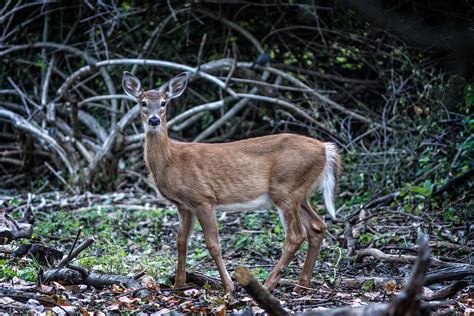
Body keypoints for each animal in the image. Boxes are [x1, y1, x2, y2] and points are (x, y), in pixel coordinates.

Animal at [123, 70, 340, 292]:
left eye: (164, 103)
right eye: (143, 102)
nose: (154, 120)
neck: (171, 160)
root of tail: (325, 148)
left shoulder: (203, 198)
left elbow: (213, 244)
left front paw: (228, 286)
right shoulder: (184, 205)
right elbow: (181, 241)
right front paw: (178, 285)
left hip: (286, 188)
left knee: (296, 235)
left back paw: (269, 284)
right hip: (300, 193)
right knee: (317, 227)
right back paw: (301, 285)